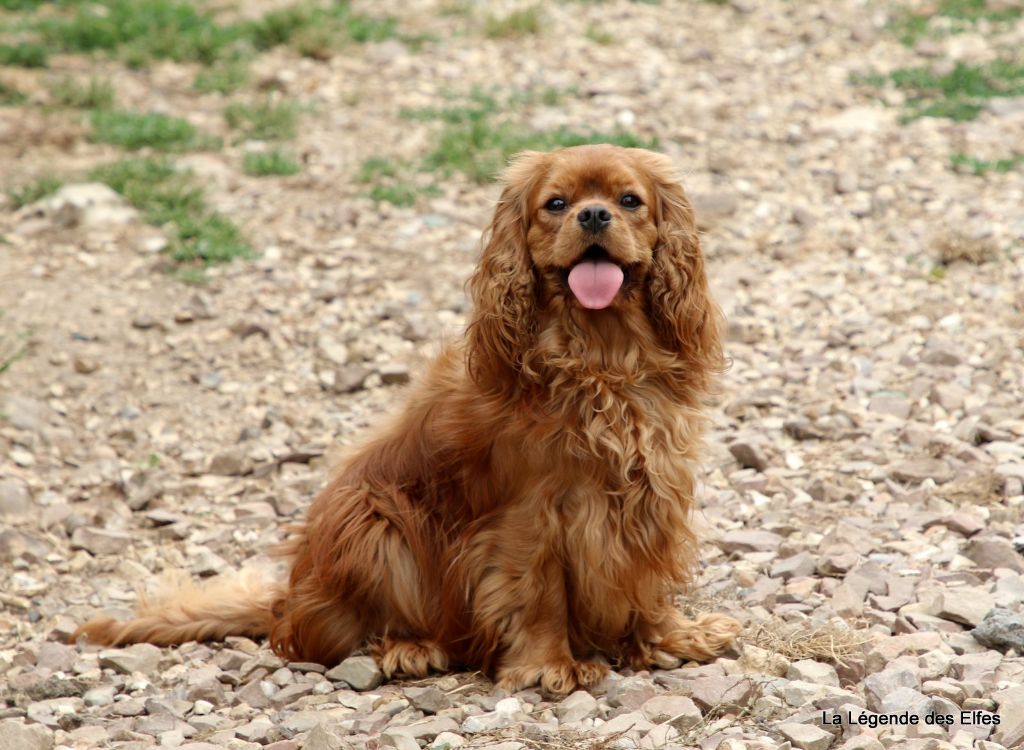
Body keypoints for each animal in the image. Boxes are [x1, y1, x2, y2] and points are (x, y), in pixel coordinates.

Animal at [75, 143, 741, 692]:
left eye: (630, 201)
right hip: (372, 517)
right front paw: (548, 665)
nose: (595, 216)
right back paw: (408, 648)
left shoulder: (652, 490)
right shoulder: (533, 514)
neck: (601, 358)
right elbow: (539, 592)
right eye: (556, 204)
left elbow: (646, 576)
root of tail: (288, 598)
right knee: (331, 637)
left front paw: (668, 637)